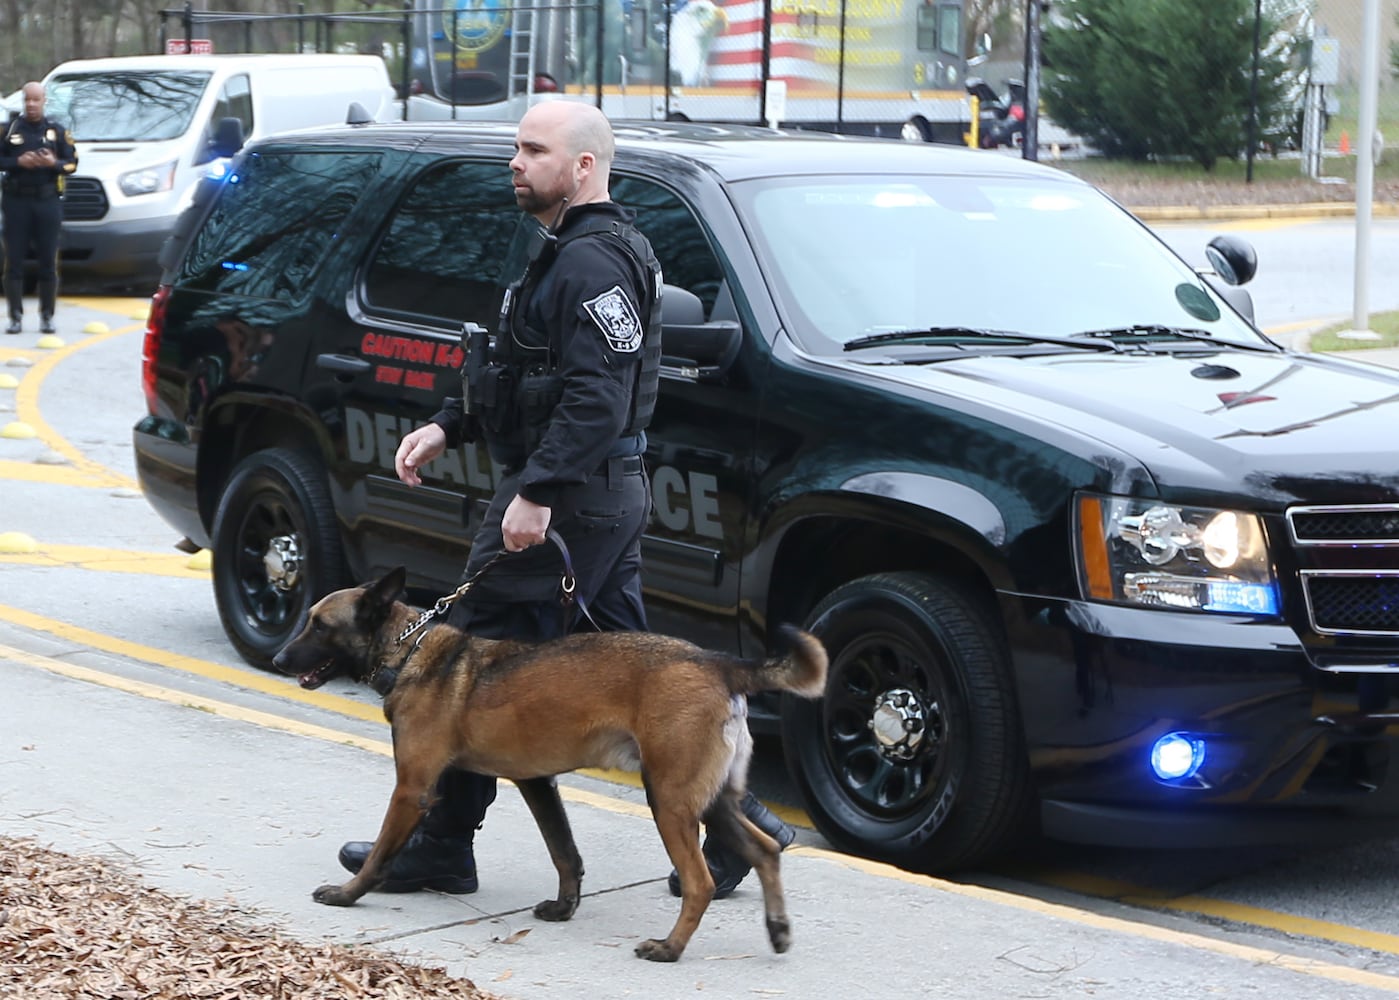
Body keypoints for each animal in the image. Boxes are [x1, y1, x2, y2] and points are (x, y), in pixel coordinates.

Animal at [267, 567, 822, 967]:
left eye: (319, 625)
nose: (276, 659)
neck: (410, 652)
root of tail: (719, 663)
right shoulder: (537, 784)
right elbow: (565, 854)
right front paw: (565, 907)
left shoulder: (412, 790)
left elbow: (382, 852)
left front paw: (349, 893)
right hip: (709, 800)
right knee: (766, 849)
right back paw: (777, 928)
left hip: (668, 800)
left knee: (701, 883)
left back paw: (671, 948)